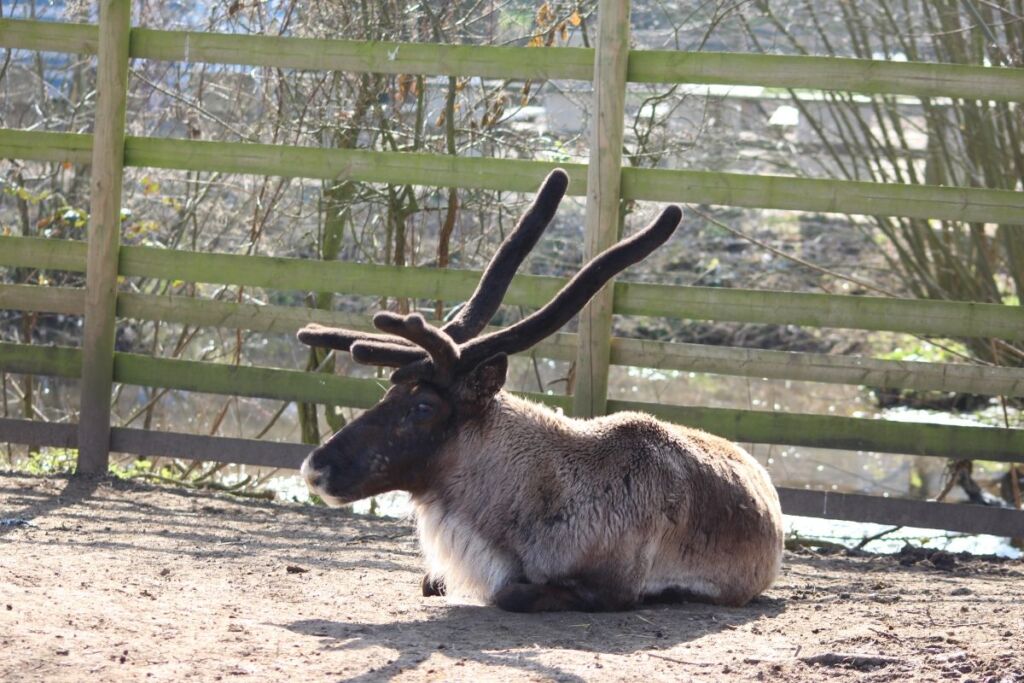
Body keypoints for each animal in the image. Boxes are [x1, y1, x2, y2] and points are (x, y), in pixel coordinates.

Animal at [297, 169, 784, 612]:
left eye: (423, 406)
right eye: (388, 394)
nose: (315, 467)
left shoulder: (613, 587)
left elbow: (510, 593)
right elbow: (432, 580)